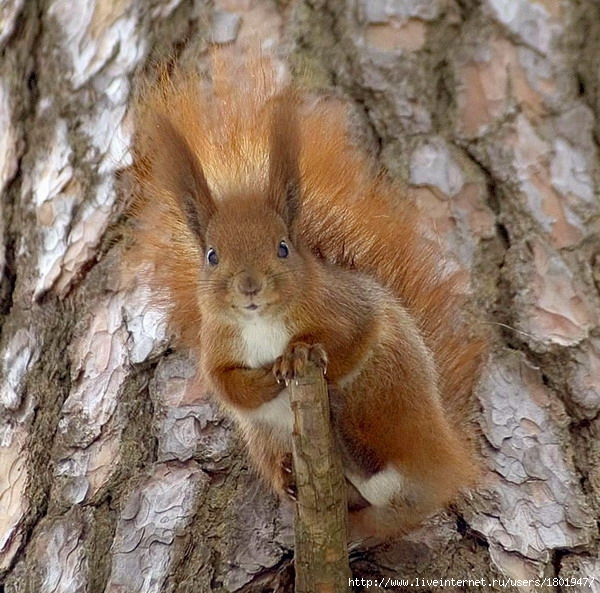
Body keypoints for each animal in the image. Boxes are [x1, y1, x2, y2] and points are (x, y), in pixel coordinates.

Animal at [127, 52, 488, 540]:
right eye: (212, 256)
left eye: (283, 247)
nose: (250, 286)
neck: (261, 324)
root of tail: (444, 462)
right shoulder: (216, 345)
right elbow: (230, 387)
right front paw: (265, 378)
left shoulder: (350, 307)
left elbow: (354, 340)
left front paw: (295, 355)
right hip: (268, 439)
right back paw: (294, 475)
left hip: (390, 409)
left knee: (386, 478)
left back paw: (352, 448)